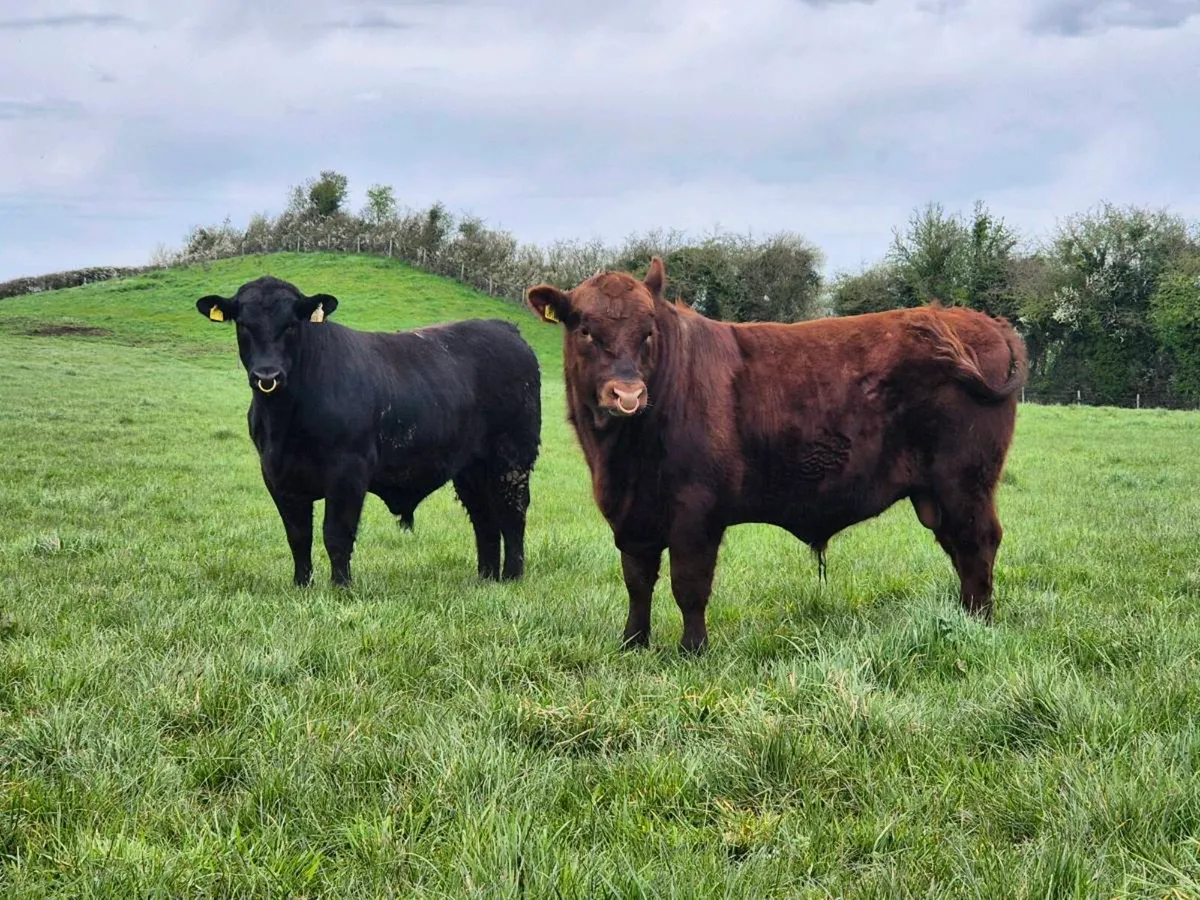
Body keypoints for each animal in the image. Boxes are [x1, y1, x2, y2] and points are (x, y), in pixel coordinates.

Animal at [196, 275, 541, 587]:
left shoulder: (348, 469)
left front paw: (341, 587)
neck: (285, 422)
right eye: (243, 324)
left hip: (513, 458)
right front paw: (301, 585)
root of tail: (504, 328)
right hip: (471, 467)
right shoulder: (276, 474)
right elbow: (298, 535)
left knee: (512, 513)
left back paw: (512, 576)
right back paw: (486, 578)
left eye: (292, 324)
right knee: (484, 518)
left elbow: (336, 533)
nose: (267, 375)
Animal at [526, 257, 1026, 652]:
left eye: (648, 333)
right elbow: (637, 581)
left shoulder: (696, 513)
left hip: (965, 482)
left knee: (979, 543)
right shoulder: (630, 518)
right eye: (586, 331)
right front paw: (633, 642)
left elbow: (689, 585)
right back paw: (963, 618)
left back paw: (978, 627)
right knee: (960, 549)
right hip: (937, 496)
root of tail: (978, 320)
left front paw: (692, 649)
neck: (623, 456)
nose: (627, 394)